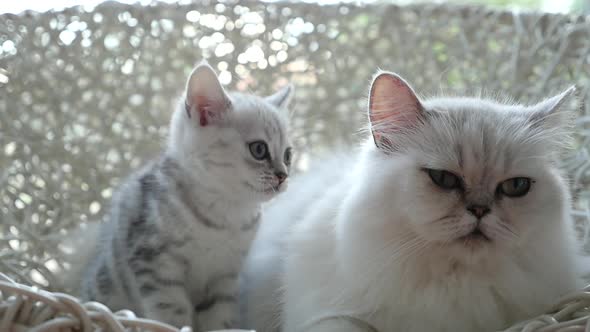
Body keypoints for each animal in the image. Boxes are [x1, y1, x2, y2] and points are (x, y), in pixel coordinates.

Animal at [77, 62, 294, 330]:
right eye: (259, 149)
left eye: (288, 155)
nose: (283, 175)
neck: (225, 216)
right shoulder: (155, 265)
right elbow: (171, 314)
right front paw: (176, 326)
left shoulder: (224, 277)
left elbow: (220, 319)